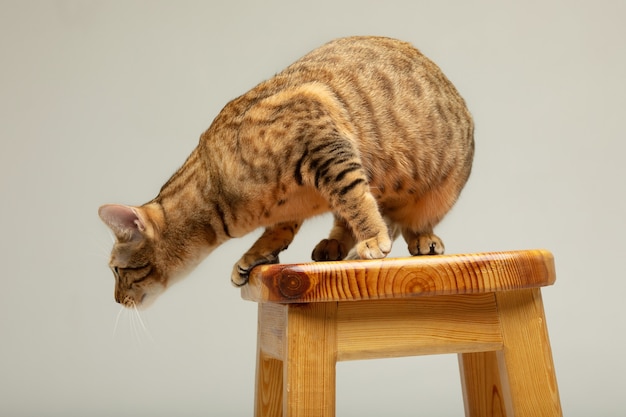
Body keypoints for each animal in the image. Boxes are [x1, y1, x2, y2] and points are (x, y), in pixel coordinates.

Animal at [98, 35, 472, 308]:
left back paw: (420, 238)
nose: (116, 300)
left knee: (406, 220)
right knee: (346, 221)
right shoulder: (290, 202)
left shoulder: (324, 140)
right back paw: (333, 245)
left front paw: (372, 238)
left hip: (443, 188)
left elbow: (355, 198)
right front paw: (252, 257)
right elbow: (280, 231)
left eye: (117, 270)